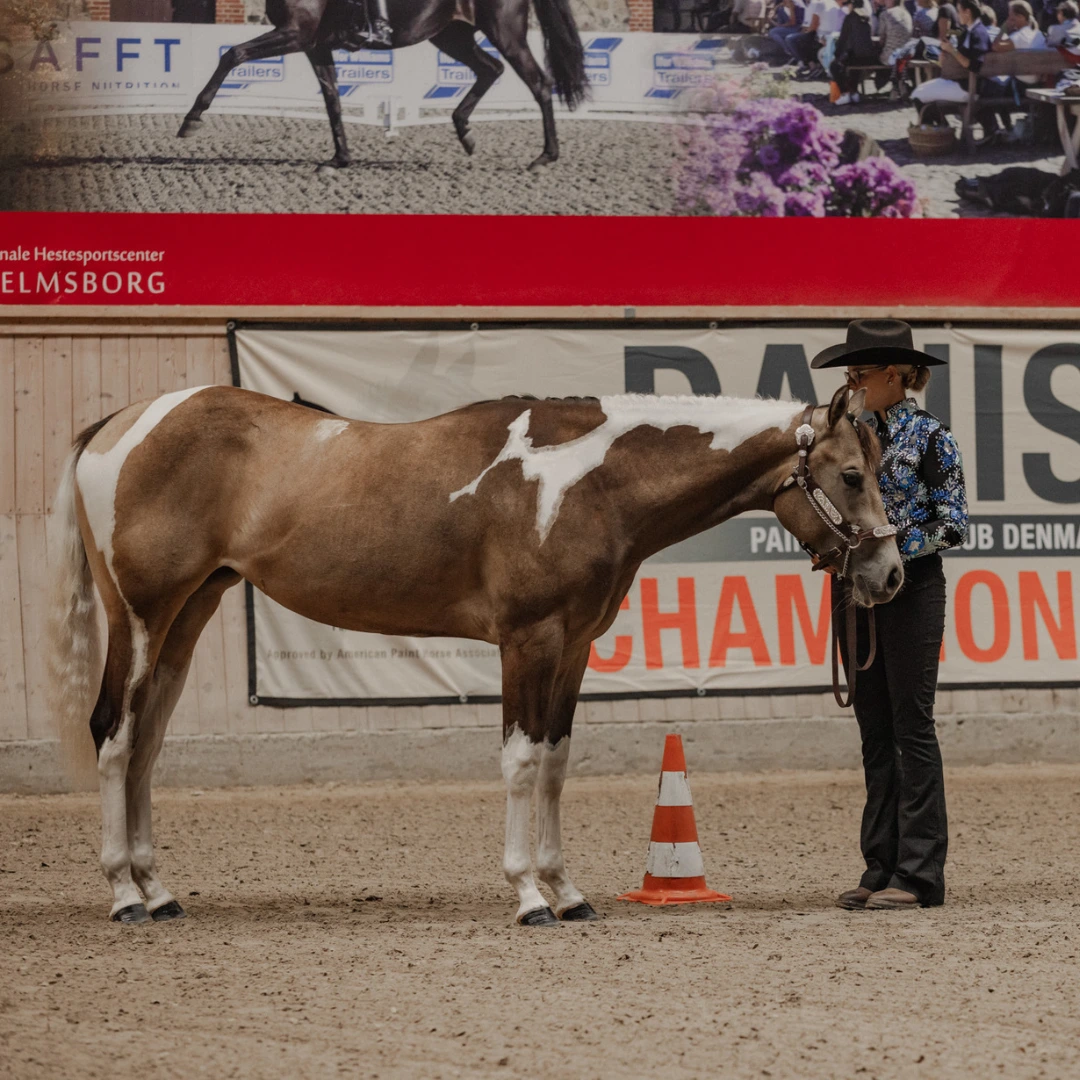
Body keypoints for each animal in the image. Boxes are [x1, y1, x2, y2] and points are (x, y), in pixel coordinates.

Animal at [50, 386, 898, 928]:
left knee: (147, 747)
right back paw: (124, 895)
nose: (888, 575)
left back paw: (159, 891)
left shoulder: (573, 647)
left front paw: (568, 892)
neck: (587, 480)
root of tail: (118, 425)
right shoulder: (527, 641)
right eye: (852, 474)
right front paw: (529, 897)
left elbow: (555, 762)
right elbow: (521, 762)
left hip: (188, 617)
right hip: (140, 618)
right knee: (115, 738)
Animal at [173, 0, 587, 168]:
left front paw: (192, 120)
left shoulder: (295, 34)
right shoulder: (315, 45)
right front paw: (340, 158)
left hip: (504, 30)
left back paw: (545, 156)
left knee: (539, 82)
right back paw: (465, 131)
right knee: (491, 69)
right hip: (451, 35)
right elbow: (332, 99)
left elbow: (232, 55)